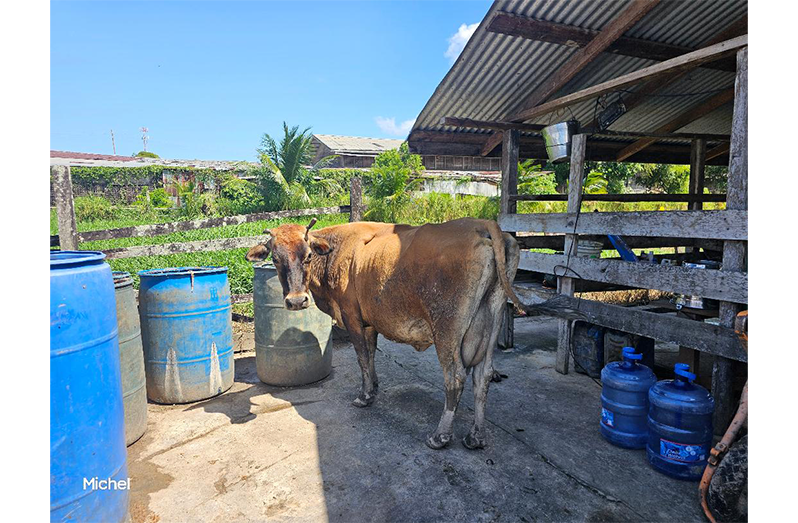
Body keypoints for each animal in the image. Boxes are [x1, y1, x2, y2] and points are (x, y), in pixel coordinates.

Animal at [246, 218, 575, 450]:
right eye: (275, 258)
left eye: (307, 256)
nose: (296, 301)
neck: (337, 249)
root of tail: (481, 224)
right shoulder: (370, 321)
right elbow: (372, 355)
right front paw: (375, 386)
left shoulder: (352, 318)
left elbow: (362, 357)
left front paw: (365, 396)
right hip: (492, 319)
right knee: (482, 377)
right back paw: (476, 437)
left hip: (447, 328)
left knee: (456, 377)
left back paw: (440, 436)